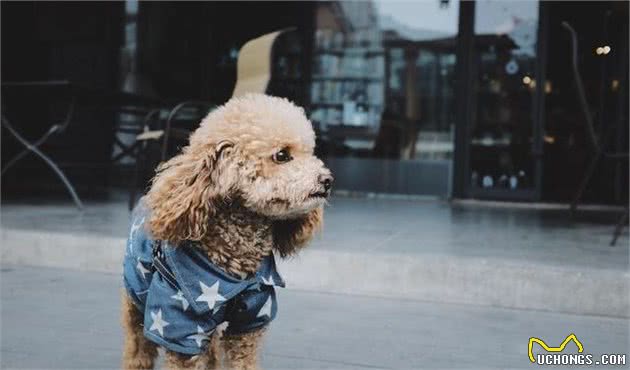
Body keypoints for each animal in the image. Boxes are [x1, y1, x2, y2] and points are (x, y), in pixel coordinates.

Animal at [120, 94, 334, 370]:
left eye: (310, 152)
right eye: (282, 155)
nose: (327, 180)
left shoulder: (252, 319)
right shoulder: (178, 327)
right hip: (137, 298)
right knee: (138, 346)